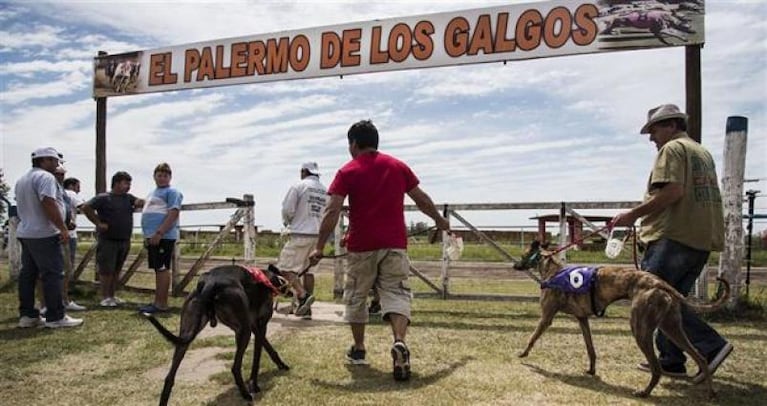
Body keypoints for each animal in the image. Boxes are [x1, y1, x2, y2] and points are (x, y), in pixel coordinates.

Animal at [142, 264, 292, 406]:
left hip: (186, 334)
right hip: (244, 331)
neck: (268, 279)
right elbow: (258, 357)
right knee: (235, 368)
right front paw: (254, 385)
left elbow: (269, 348)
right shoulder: (260, 326)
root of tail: (210, 282)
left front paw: (281, 365)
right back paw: (246, 395)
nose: (291, 292)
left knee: (169, 378)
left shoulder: (254, 326)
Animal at [512, 239, 728, 398]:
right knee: (700, 357)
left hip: (640, 329)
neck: (553, 270)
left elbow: (532, 337)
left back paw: (645, 392)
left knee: (656, 368)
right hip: (671, 327)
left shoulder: (546, 317)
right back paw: (710, 392)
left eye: (522, 255)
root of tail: (660, 283)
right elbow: (591, 349)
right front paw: (591, 370)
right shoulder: (583, 320)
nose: (514, 265)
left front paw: (523, 354)